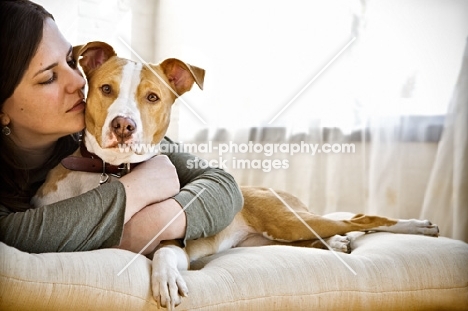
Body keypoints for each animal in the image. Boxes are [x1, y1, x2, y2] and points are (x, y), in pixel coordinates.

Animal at [32, 42, 438, 311]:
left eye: (152, 97)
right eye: (106, 89)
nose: (123, 125)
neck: (110, 172)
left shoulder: (175, 241)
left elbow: (163, 255)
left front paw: (165, 279)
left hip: (285, 219)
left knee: (361, 218)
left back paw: (416, 226)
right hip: (275, 237)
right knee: (330, 231)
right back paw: (339, 244)